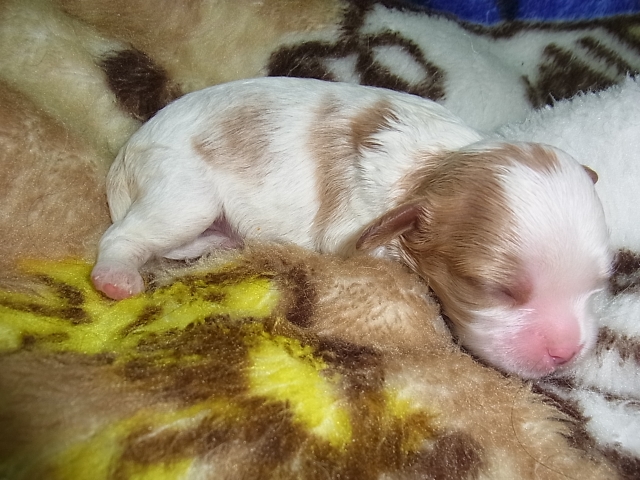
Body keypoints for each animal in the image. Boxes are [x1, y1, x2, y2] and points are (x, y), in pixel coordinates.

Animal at [91, 77, 612, 379]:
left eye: (600, 286)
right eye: (492, 288)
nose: (566, 354)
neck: (436, 166)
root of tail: (127, 152)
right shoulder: (353, 229)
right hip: (183, 193)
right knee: (123, 236)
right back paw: (115, 277)